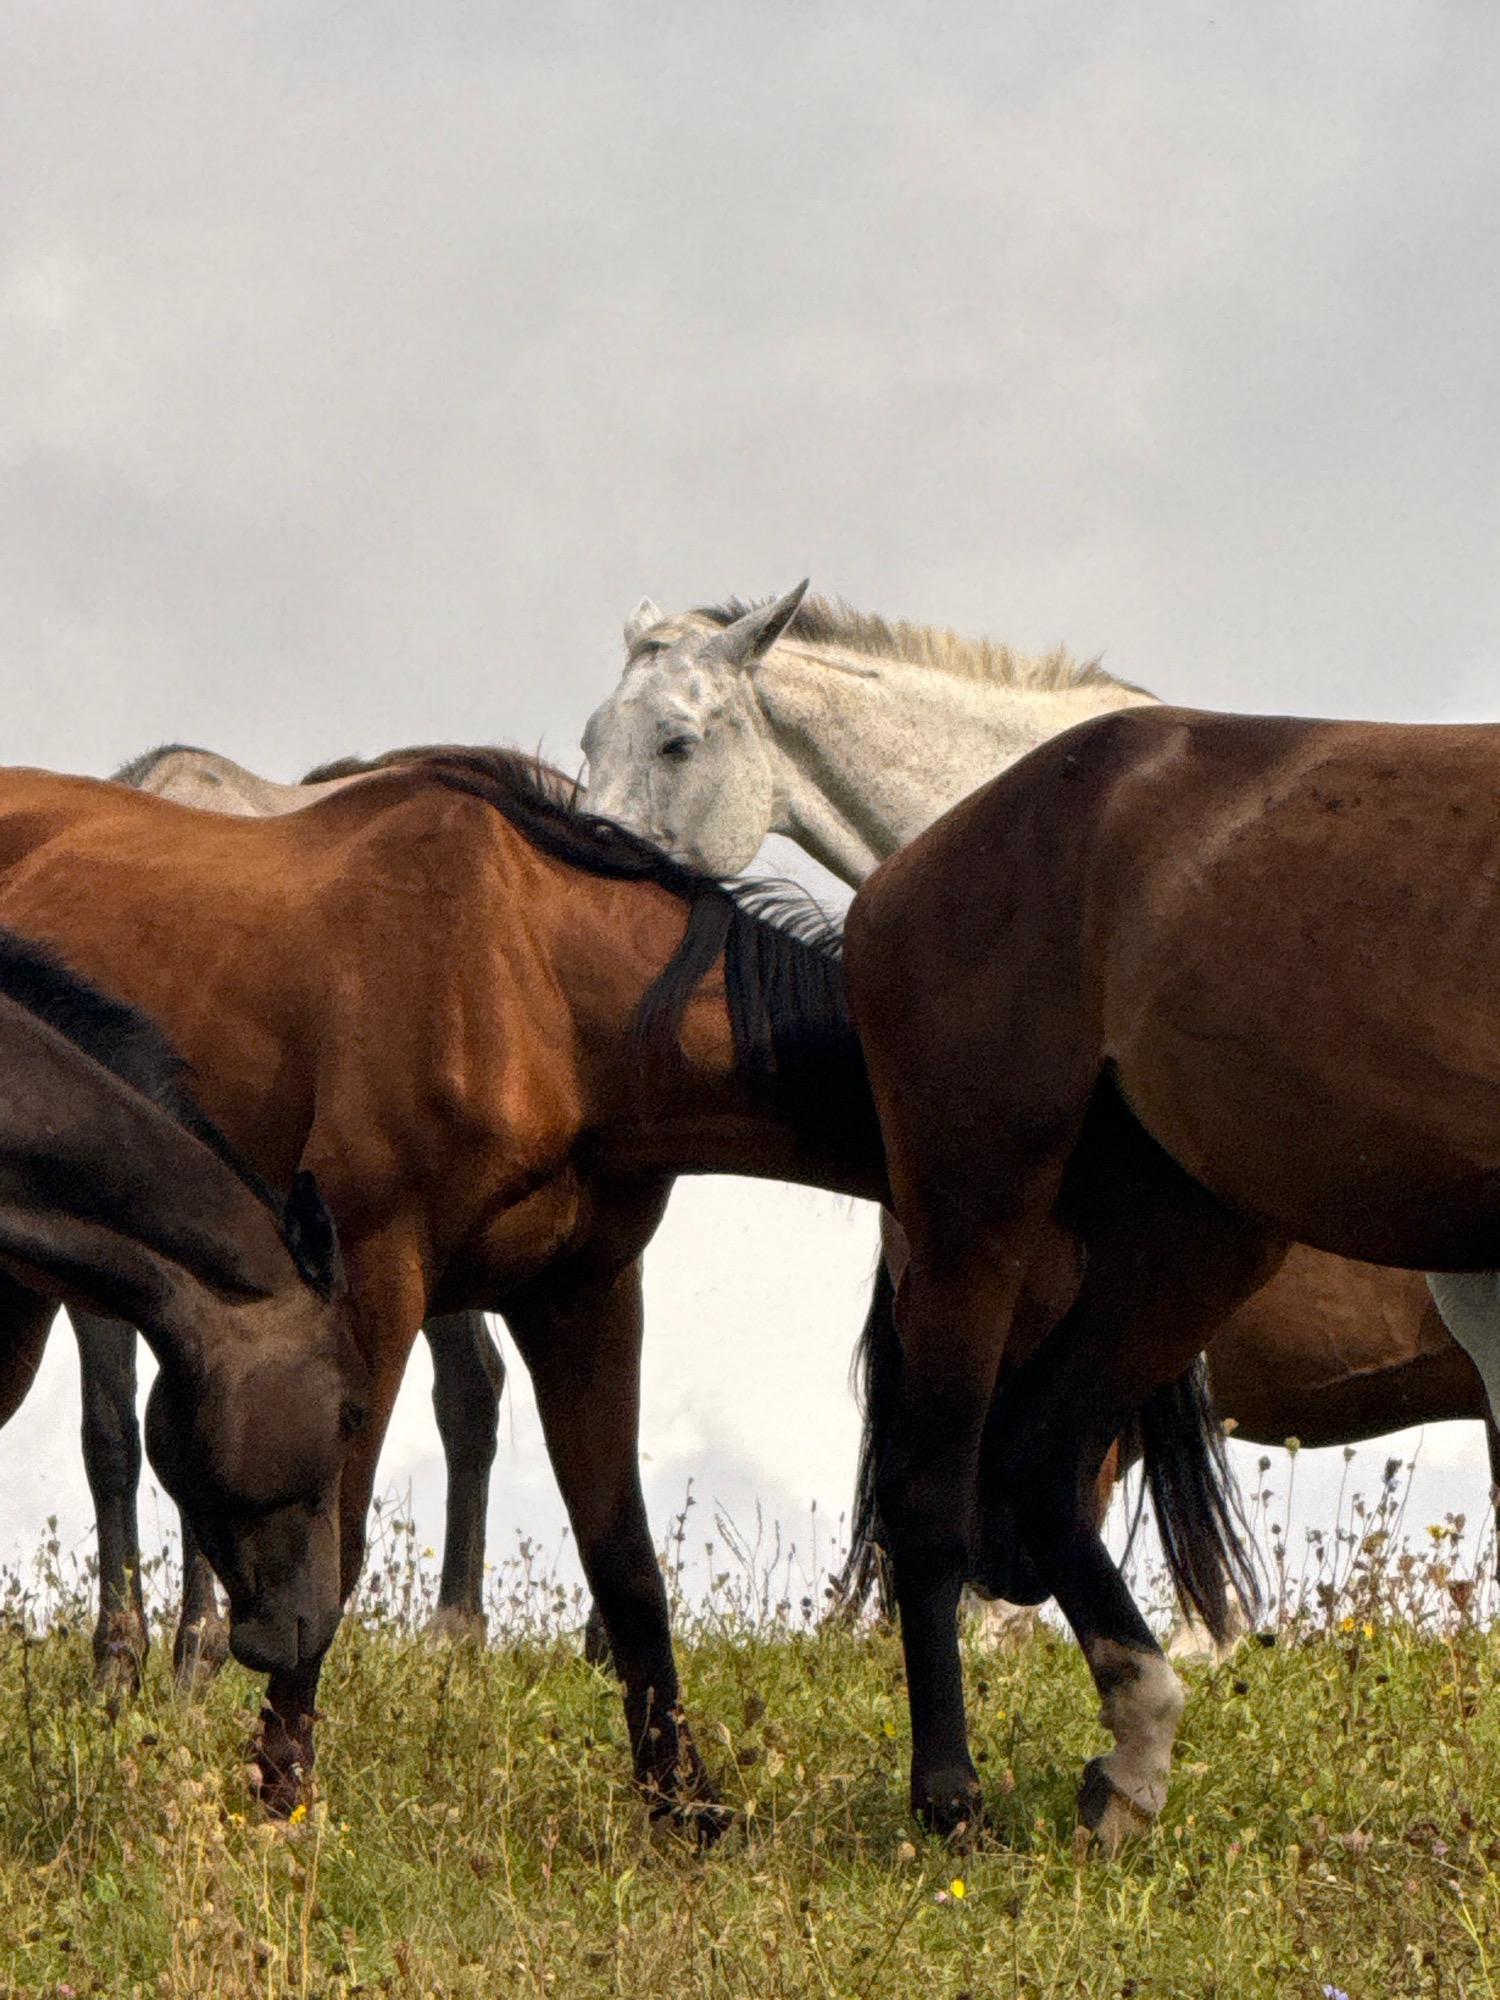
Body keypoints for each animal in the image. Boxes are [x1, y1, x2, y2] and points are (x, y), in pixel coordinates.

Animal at [842, 703, 1500, 1850]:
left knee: (1041, 1455)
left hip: (1191, 1247)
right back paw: (951, 1795)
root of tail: (901, 874)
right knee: (933, 1490)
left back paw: (1131, 1762)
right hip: (980, 1217)